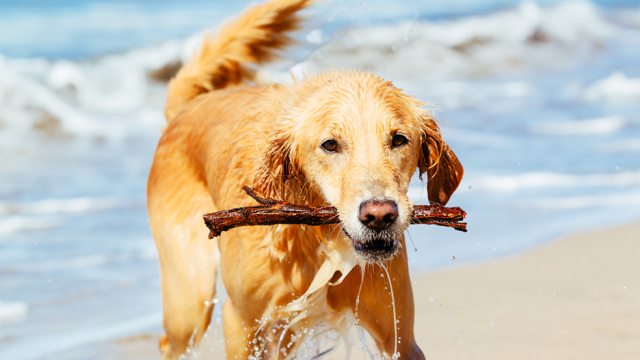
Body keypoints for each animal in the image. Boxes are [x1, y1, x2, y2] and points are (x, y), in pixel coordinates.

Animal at [148, 1, 462, 358]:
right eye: (330, 145)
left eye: (398, 139)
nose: (380, 216)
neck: (317, 239)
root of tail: (186, 107)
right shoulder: (241, 322)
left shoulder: (398, 337)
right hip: (190, 297)